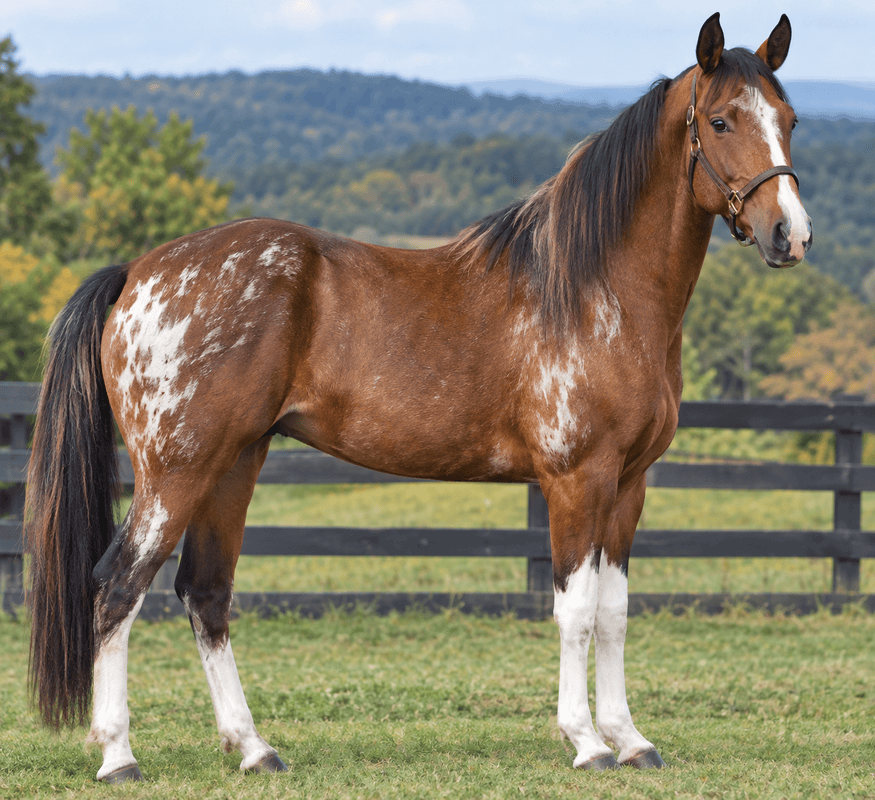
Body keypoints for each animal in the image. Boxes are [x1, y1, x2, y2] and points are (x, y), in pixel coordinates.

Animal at [26, 13, 811, 782]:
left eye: (789, 118)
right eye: (719, 121)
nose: (790, 235)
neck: (596, 290)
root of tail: (139, 272)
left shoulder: (629, 483)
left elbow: (614, 613)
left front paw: (630, 738)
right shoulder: (575, 480)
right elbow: (576, 612)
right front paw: (586, 741)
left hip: (233, 464)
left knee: (205, 593)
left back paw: (254, 749)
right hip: (176, 472)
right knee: (116, 587)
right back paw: (119, 756)